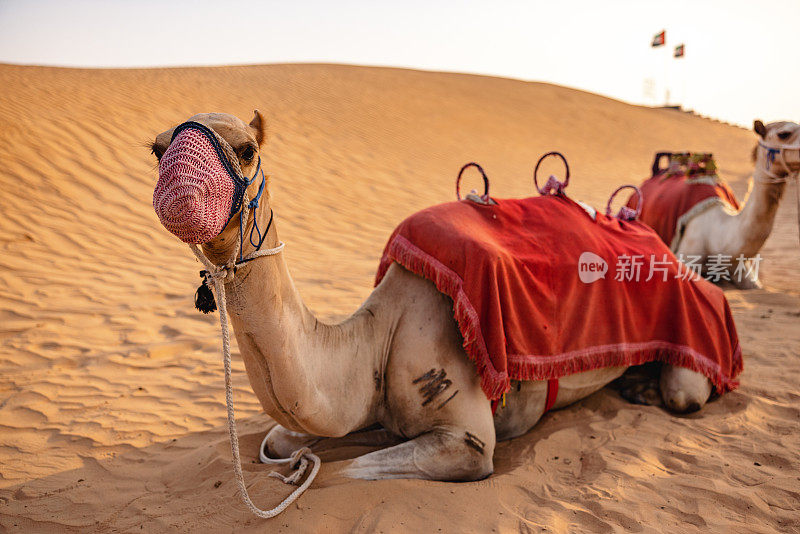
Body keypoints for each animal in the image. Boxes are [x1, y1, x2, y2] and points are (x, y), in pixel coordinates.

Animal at [150, 111, 720, 488]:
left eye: (247, 149)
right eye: (156, 149)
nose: (181, 194)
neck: (373, 341)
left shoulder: (469, 442)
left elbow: (345, 473)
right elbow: (280, 442)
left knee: (686, 394)